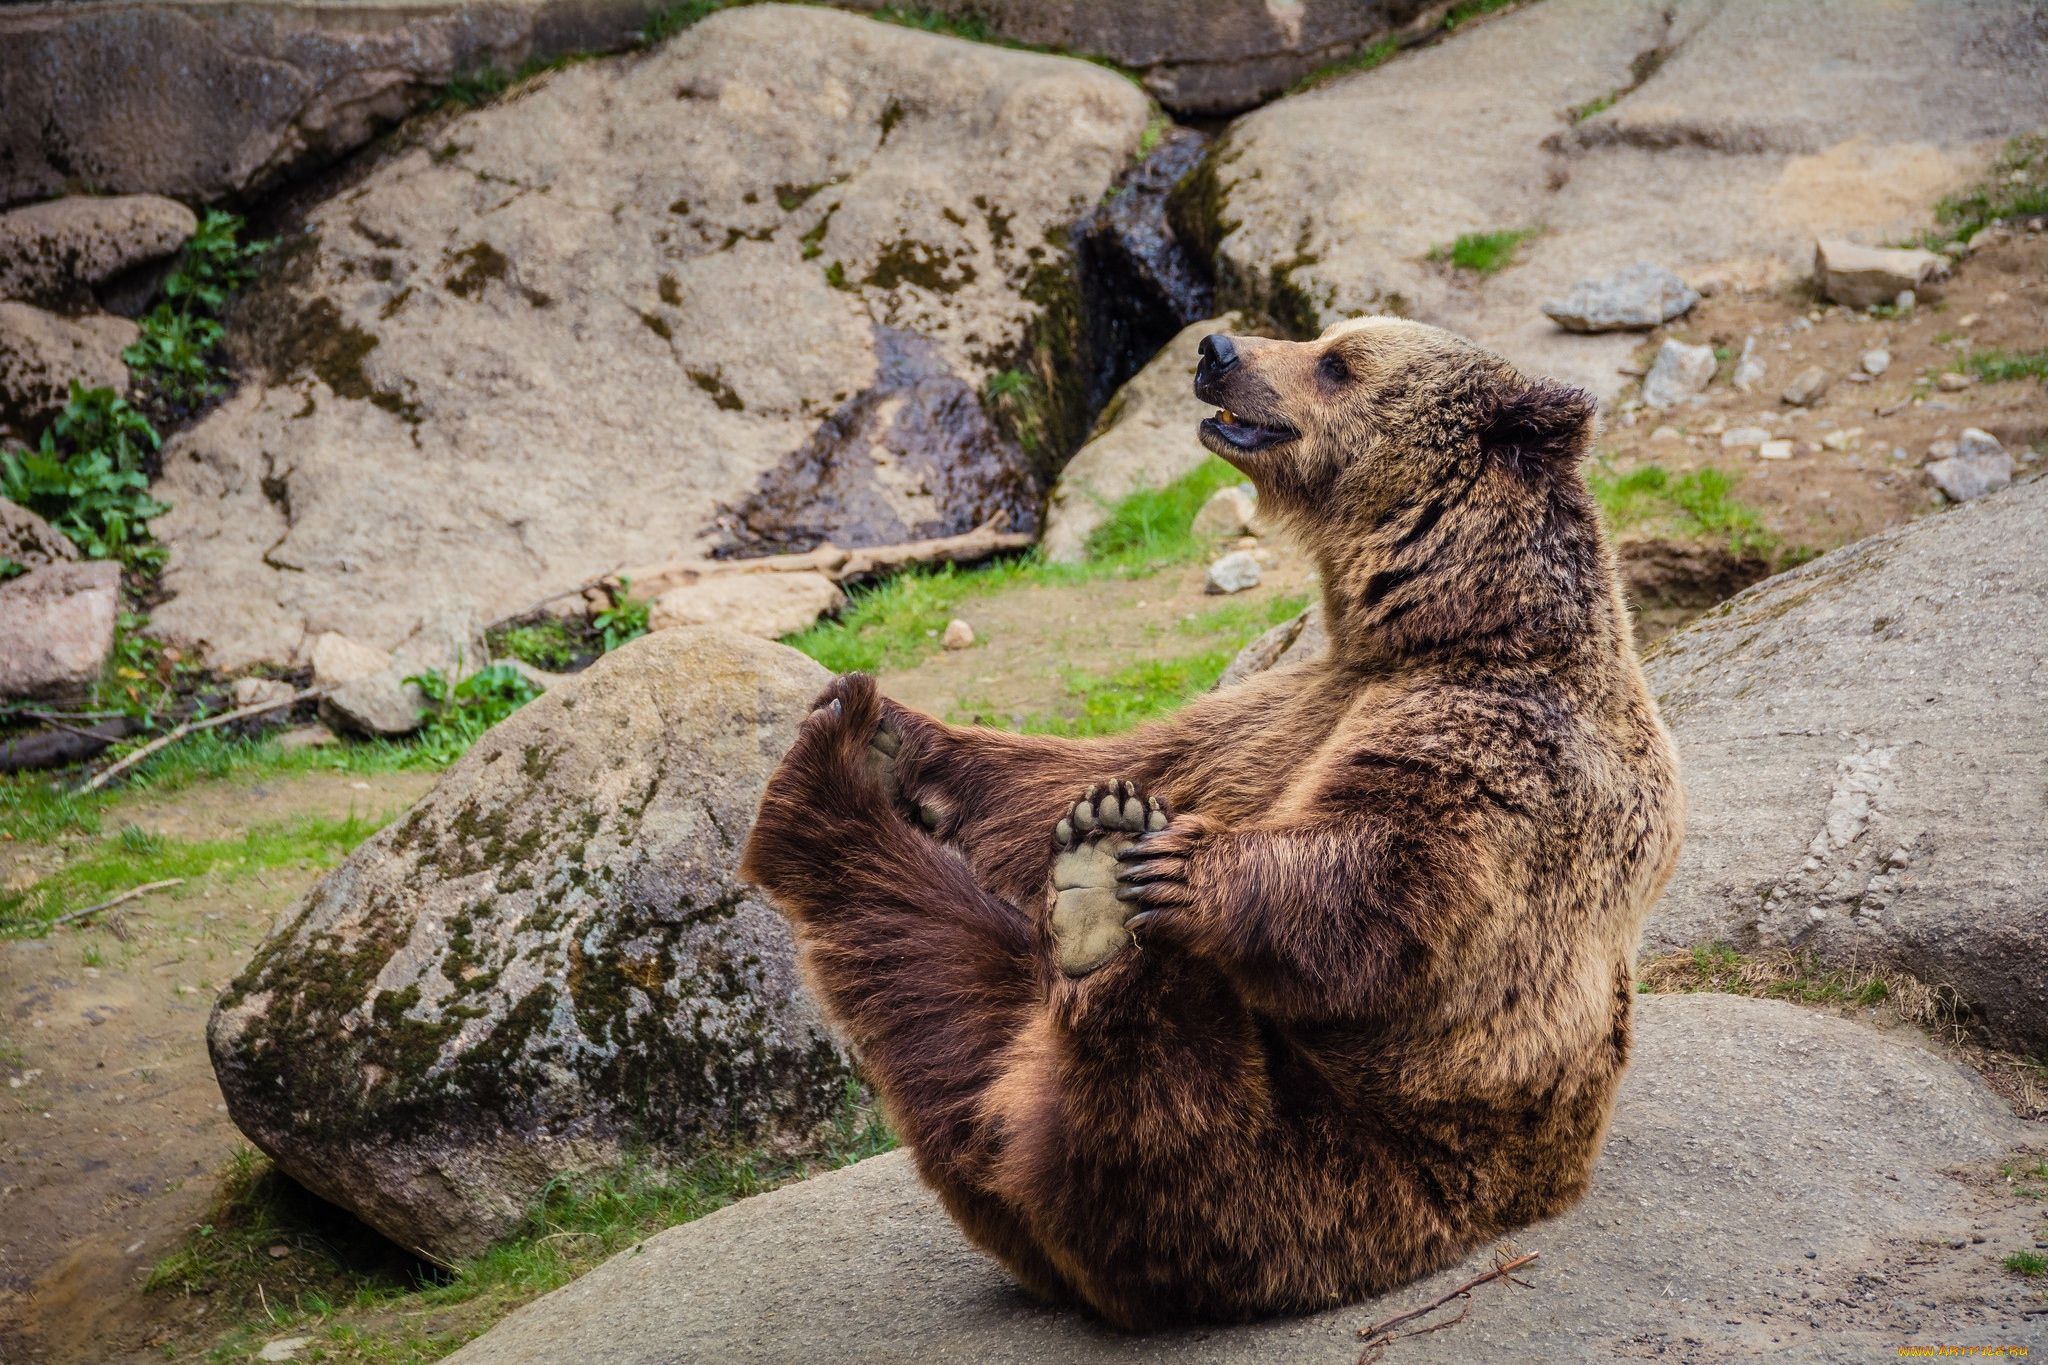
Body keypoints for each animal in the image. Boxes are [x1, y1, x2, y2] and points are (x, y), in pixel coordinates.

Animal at [737, 315, 1679, 1326]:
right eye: (1326, 334)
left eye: (1337, 361)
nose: (1216, 349)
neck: (1443, 626)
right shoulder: (1276, 709)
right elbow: (1081, 777)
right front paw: (907, 736)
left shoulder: (1504, 743)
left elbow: (1392, 875)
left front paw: (1174, 863)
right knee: (937, 978)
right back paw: (847, 755)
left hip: (1332, 1177)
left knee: (1161, 1113)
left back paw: (1083, 894)